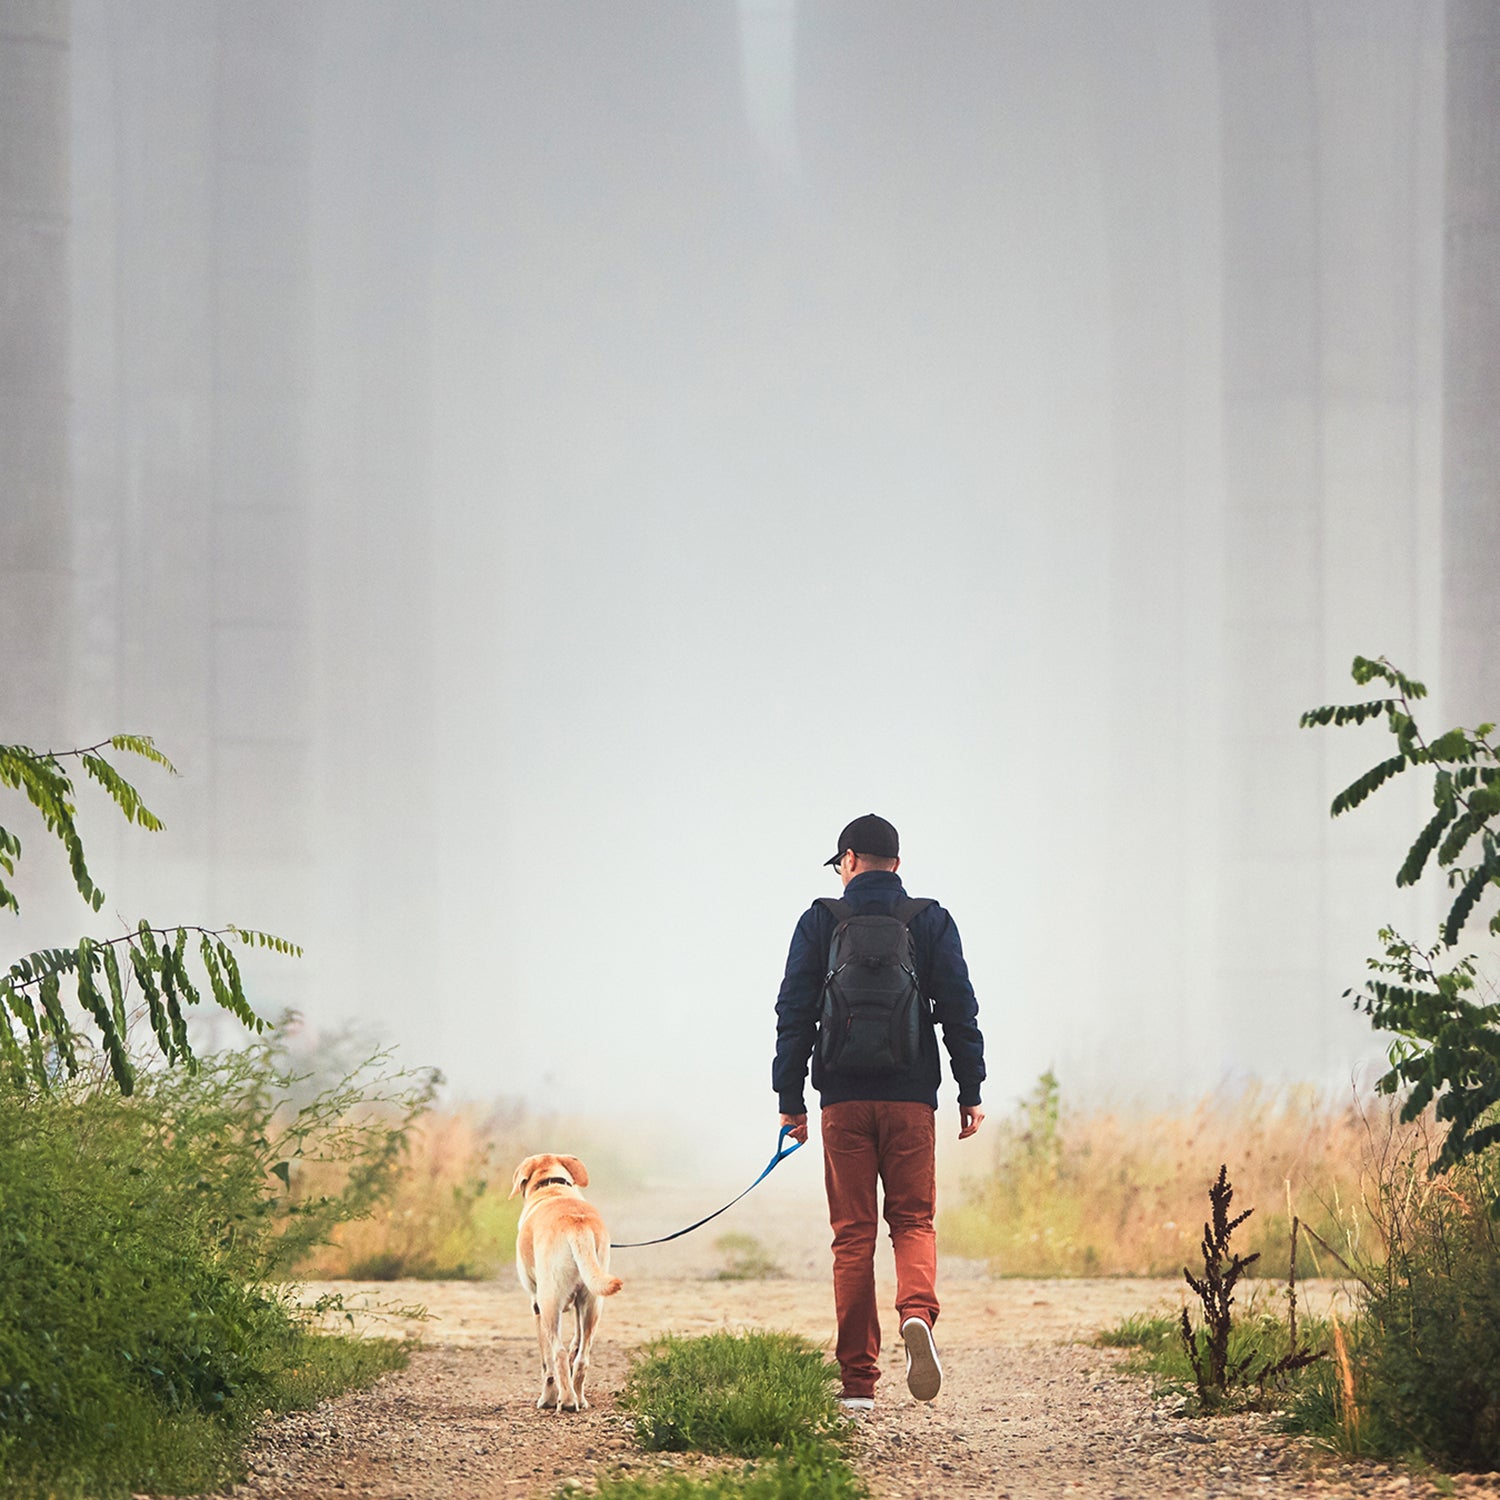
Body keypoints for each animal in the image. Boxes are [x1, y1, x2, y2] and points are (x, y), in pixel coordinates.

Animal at [507, 1152, 618, 1410]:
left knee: (556, 1353)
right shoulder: (579, 1305)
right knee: (582, 1358)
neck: (552, 1186)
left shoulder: (536, 1306)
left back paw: (564, 1401)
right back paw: (579, 1398)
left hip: (549, 1304)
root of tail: (576, 1224)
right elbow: (575, 1343)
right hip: (593, 1303)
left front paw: (546, 1398)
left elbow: (546, 1362)